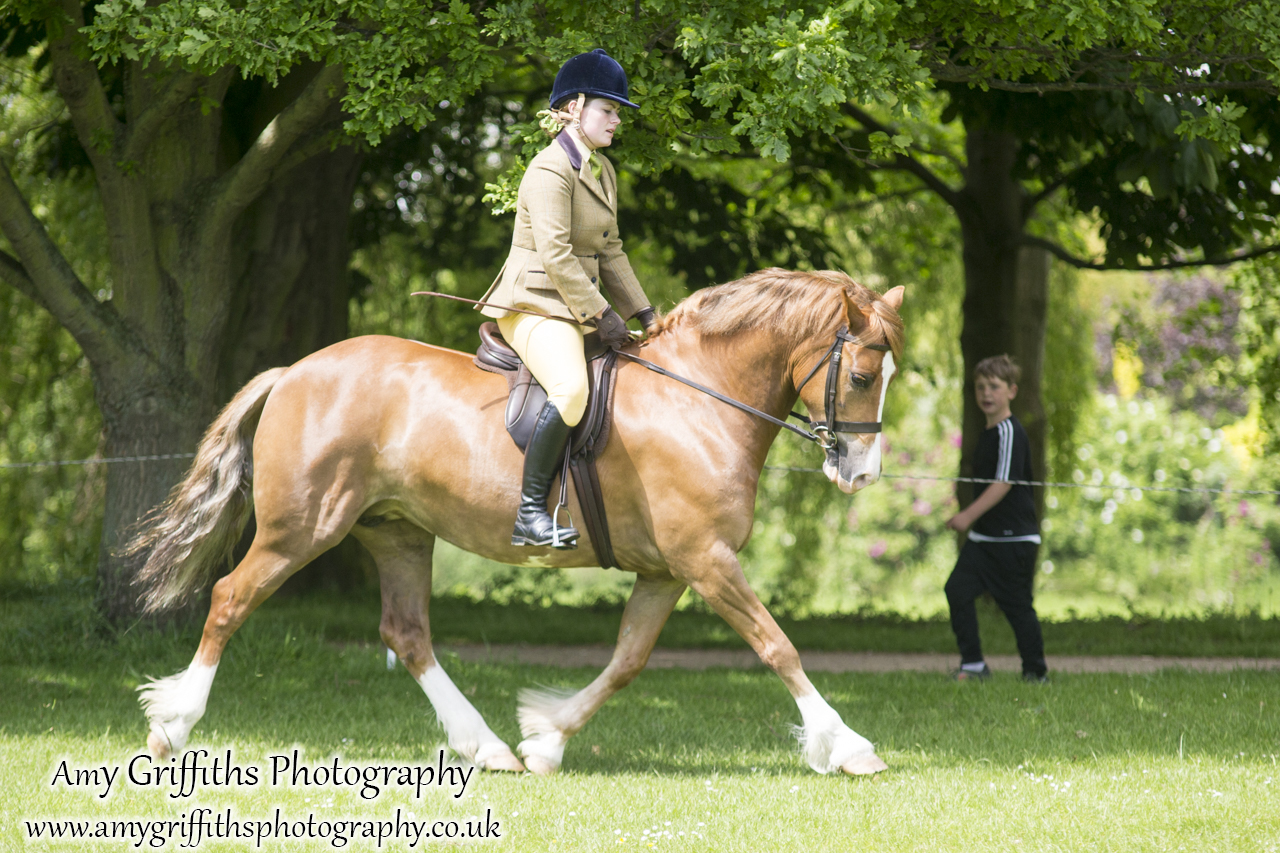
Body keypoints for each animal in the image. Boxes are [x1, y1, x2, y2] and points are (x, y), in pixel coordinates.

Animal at [132, 267, 901, 778]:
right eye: (864, 378)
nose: (860, 475)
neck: (699, 399)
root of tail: (293, 371)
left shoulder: (667, 571)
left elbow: (626, 661)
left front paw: (546, 739)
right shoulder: (707, 559)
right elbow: (778, 647)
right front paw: (849, 745)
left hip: (397, 531)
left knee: (407, 634)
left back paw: (489, 747)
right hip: (302, 529)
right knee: (231, 598)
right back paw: (172, 726)